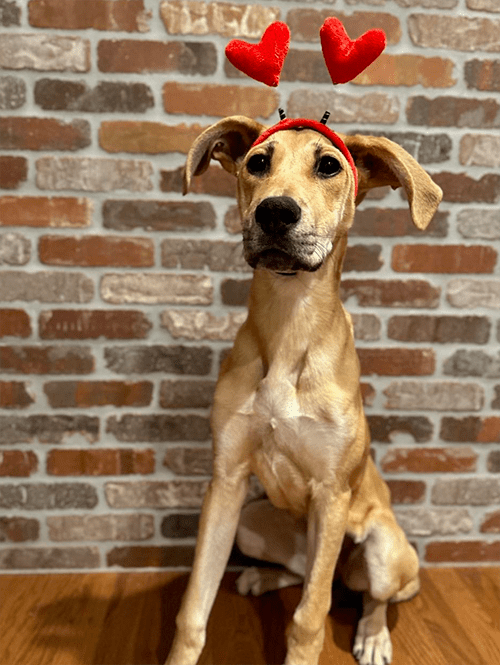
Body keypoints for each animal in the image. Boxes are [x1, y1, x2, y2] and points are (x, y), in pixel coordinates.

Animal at [166, 115, 444, 664]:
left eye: (329, 166)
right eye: (257, 162)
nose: (275, 211)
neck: (290, 321)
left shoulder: (332, 493)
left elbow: (309, 618)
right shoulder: (226, 481)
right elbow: (193, 611)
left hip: (384, 549)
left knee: (366, 595)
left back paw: (373, 635)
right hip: (254, 520)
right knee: (308, 574)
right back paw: (262, 577)